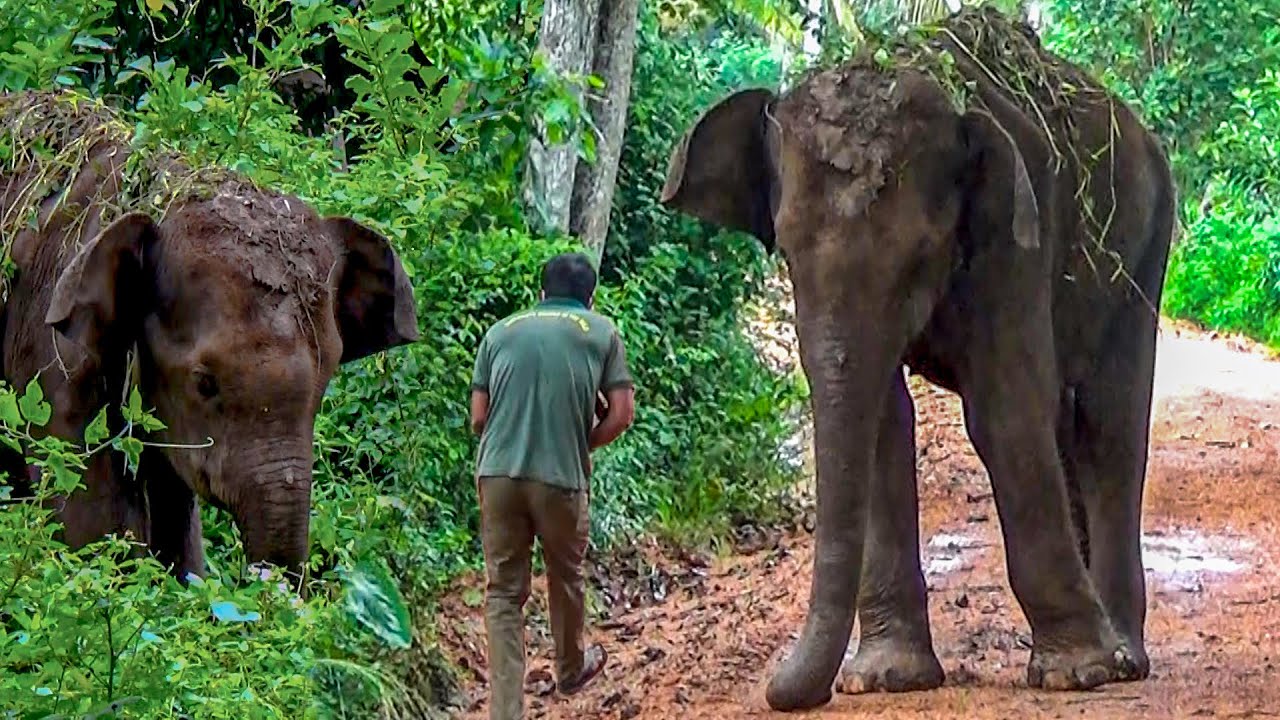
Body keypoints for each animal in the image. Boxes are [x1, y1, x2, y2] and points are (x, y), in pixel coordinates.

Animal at [659, 8, 1175, 712]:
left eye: (919, 258)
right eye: (785, 252)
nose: (777, 690)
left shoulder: (1016, 236)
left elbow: (1006, 413)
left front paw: (1079, 674)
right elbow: (884, 419)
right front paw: (885, 678)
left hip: (1147, 247)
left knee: (1108, 425)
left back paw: (1123, 658)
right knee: (1074, 429)